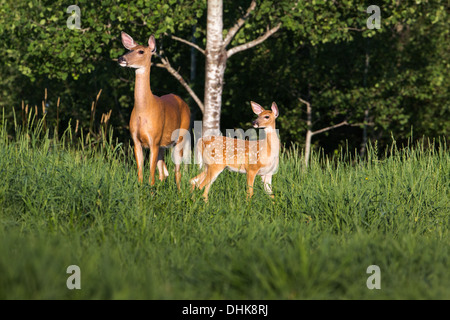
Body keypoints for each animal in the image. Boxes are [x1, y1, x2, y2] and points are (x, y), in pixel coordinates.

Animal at [118, 32, 190, 188]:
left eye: (140, 51)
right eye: (129, 49)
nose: (121, 58)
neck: (144, 109)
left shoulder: (154, 140)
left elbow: (151, 175)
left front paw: (150, 191)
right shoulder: (136, 140)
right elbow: (141, 172)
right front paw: (141, 190)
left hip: (181, 136)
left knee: (177, 171)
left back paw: (180, 191)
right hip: (164, 144)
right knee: (164, 173)